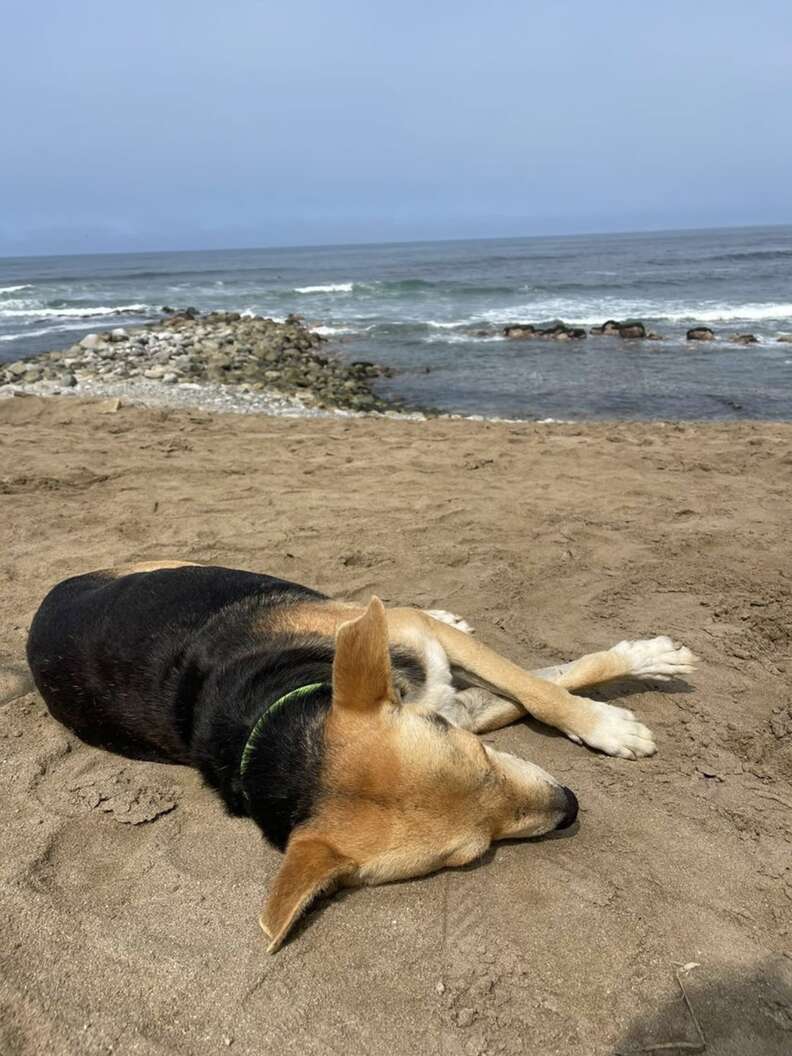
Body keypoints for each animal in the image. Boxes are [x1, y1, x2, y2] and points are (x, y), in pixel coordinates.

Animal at [24, 566, 696, 954]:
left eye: (481, 758)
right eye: (470, 855)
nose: (570, 806)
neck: (275, 719)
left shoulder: (435, 670)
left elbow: (541, 686)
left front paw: (619, 703)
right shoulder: (454, 703)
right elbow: (539, 686)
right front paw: (610, 713)